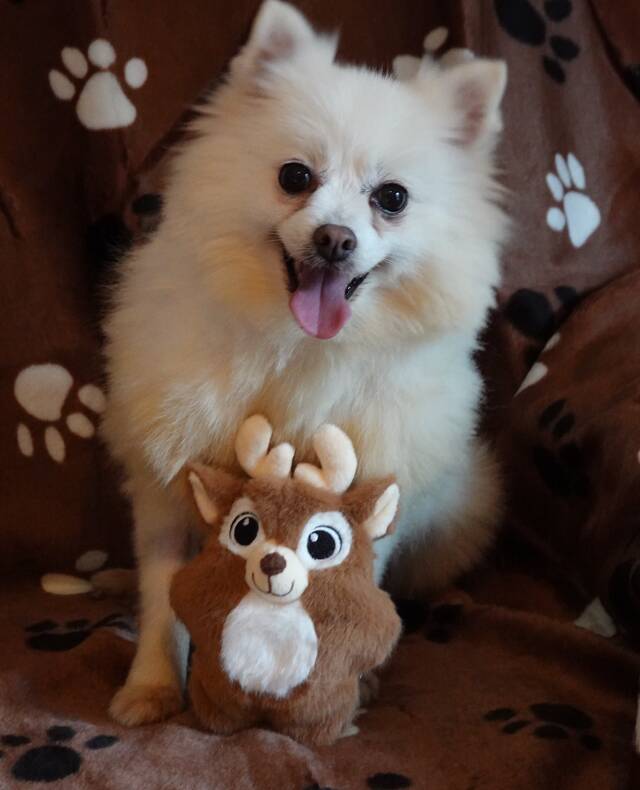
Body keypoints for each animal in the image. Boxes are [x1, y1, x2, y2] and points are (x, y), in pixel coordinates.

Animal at [100, 0, 508, 726]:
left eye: (392, 198)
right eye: (295, 177)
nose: (335, 238)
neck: (297, 346)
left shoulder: (375, 495)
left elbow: (356, 587)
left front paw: (343, 690)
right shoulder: (164, 490)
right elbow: (159, 599)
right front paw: (150, 685)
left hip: (465, 508)